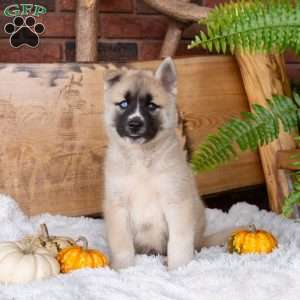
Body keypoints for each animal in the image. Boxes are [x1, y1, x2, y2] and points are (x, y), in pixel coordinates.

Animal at [103, 57, 239, 270]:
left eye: (151, 106)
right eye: (123, 104)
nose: (135, 124)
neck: (142, 157)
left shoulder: (177, 201)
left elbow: (179, 240)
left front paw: (179, 268)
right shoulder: (118, 205)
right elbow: (121, 243)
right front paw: (123, 268)